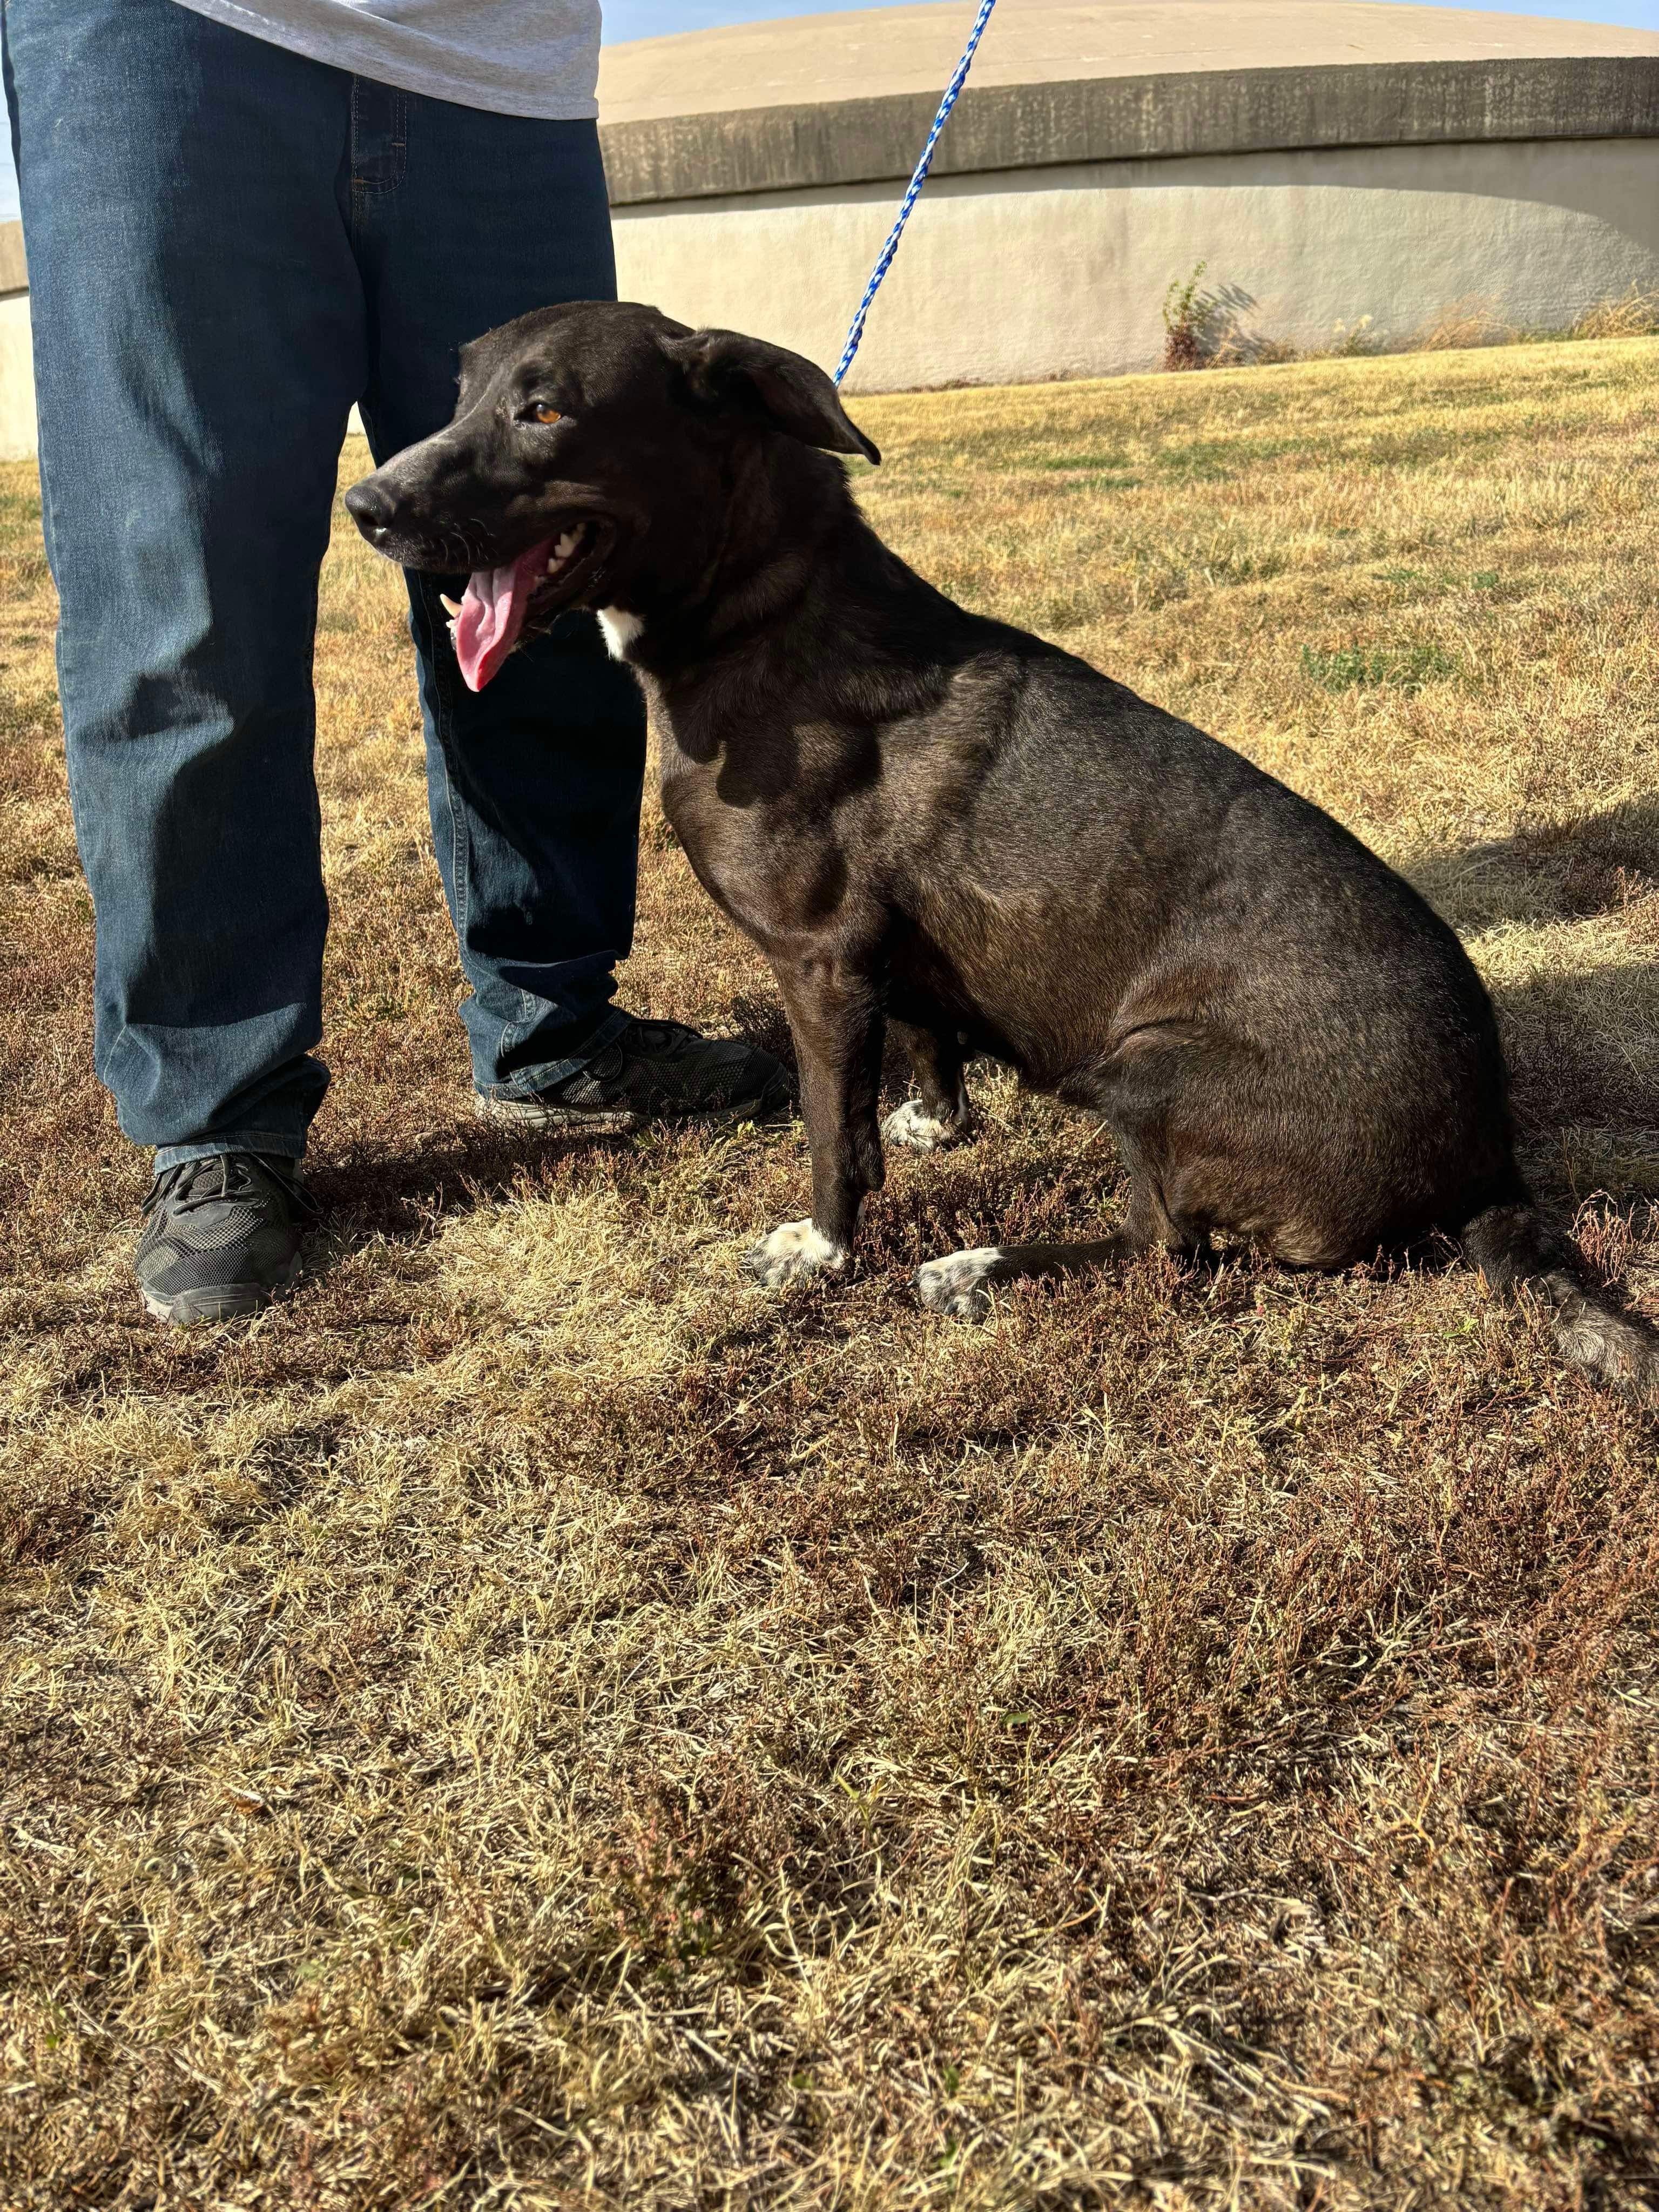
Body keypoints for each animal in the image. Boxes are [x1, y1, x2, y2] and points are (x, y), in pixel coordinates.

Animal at [347, 298, 1659, 1398]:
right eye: (461, 393)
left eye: (547, 410)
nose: (368, 509)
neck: (762, 610)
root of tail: (1488, 1164)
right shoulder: (888, 952)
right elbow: (924, 1039)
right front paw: (937, 1121)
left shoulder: (819, 959)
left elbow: (831, 1136)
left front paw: (824, 1248)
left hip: (1144, 1067)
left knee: (1166, 1249)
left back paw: (982, 1269)